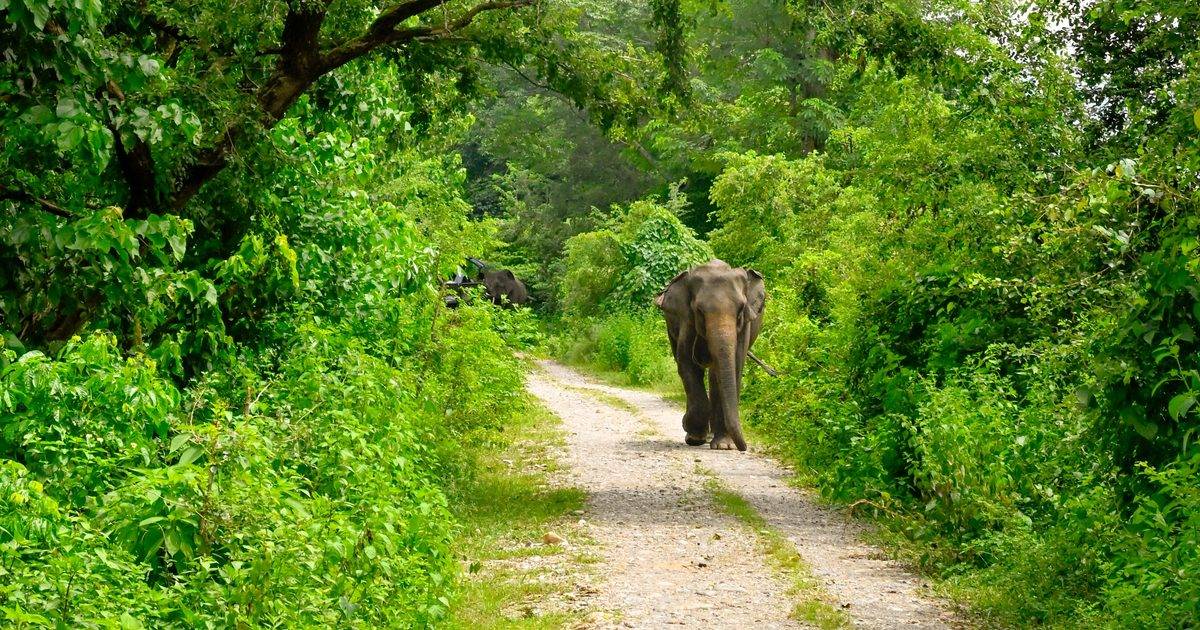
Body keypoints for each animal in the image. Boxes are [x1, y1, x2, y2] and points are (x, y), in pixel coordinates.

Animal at [655, 259, 765, 451]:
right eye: (699, 310)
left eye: (740, 310)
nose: (744, 448)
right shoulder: (687, 319)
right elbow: (687, 364)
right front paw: (694, 437)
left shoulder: (745, 326)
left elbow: (735, 364)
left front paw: (724, 446)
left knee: (716, 373)